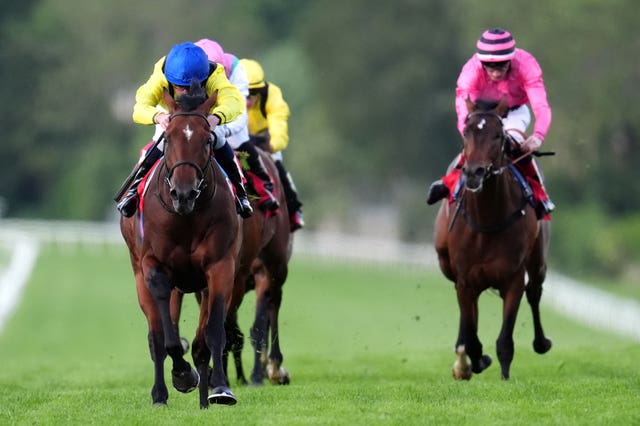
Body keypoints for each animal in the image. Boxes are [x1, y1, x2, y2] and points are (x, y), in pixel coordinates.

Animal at [119, 82, 241, 406]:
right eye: (169, 138)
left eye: (206, 139)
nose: (183, 193)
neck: (186, 217)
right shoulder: (154, 267)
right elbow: (168, 338)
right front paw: (182, 375)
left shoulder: (220, 266)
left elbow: (212, 333)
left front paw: (220, 388)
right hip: (140, 274)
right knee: (156, 335)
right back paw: (160, 392)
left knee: (200, 341)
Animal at [168, 141, 292, 386]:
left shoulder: (250, 274)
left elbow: (253, 326)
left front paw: (253, 376)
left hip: (277, 268)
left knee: (273, 307)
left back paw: (273, 367)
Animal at [432, 98, 552, 382]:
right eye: (467, 132)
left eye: (498, 135)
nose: (474, 172)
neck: (487, 220)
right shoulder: (465, 279)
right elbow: (472, 334)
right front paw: (470, 362)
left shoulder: (513, 278)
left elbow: (505, 340)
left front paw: (504, 376)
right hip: (447, 264)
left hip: (538, 261)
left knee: (534, 292)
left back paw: (541, 342)